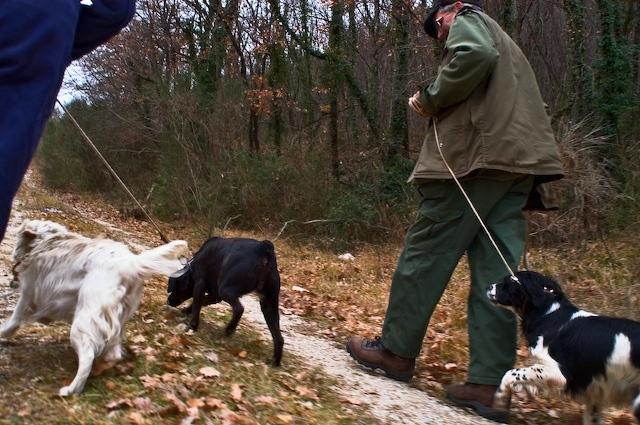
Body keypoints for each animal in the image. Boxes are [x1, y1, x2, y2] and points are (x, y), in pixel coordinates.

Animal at [1, 220, 188, 396]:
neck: (46, 240)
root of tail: (129, 264)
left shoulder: (28, 293)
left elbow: (15, 319)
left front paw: (4, 332)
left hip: (84, 321)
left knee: (87, 356)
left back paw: (71, 389)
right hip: (115, 321)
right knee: (113, 354)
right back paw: (100, 368)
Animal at [168, 235, 282, 364]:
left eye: (175, 286)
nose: (169, 300)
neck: (193, 266)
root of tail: (263, 248)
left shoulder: (200, 284)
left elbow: (197, 304)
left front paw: (193, 326)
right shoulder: (215, 296)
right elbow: (201, 302)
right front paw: (187, 310)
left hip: (226, 290)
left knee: (239, 309)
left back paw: (229, 330)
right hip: (268, 305)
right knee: (279, 337)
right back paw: (275, 361)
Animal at [488, 270, 636, 422]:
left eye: (508, 282)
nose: (489, 287)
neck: (548, 314)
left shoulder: (558, 372)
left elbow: (510, 373)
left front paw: (500, 398)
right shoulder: (594, 394)